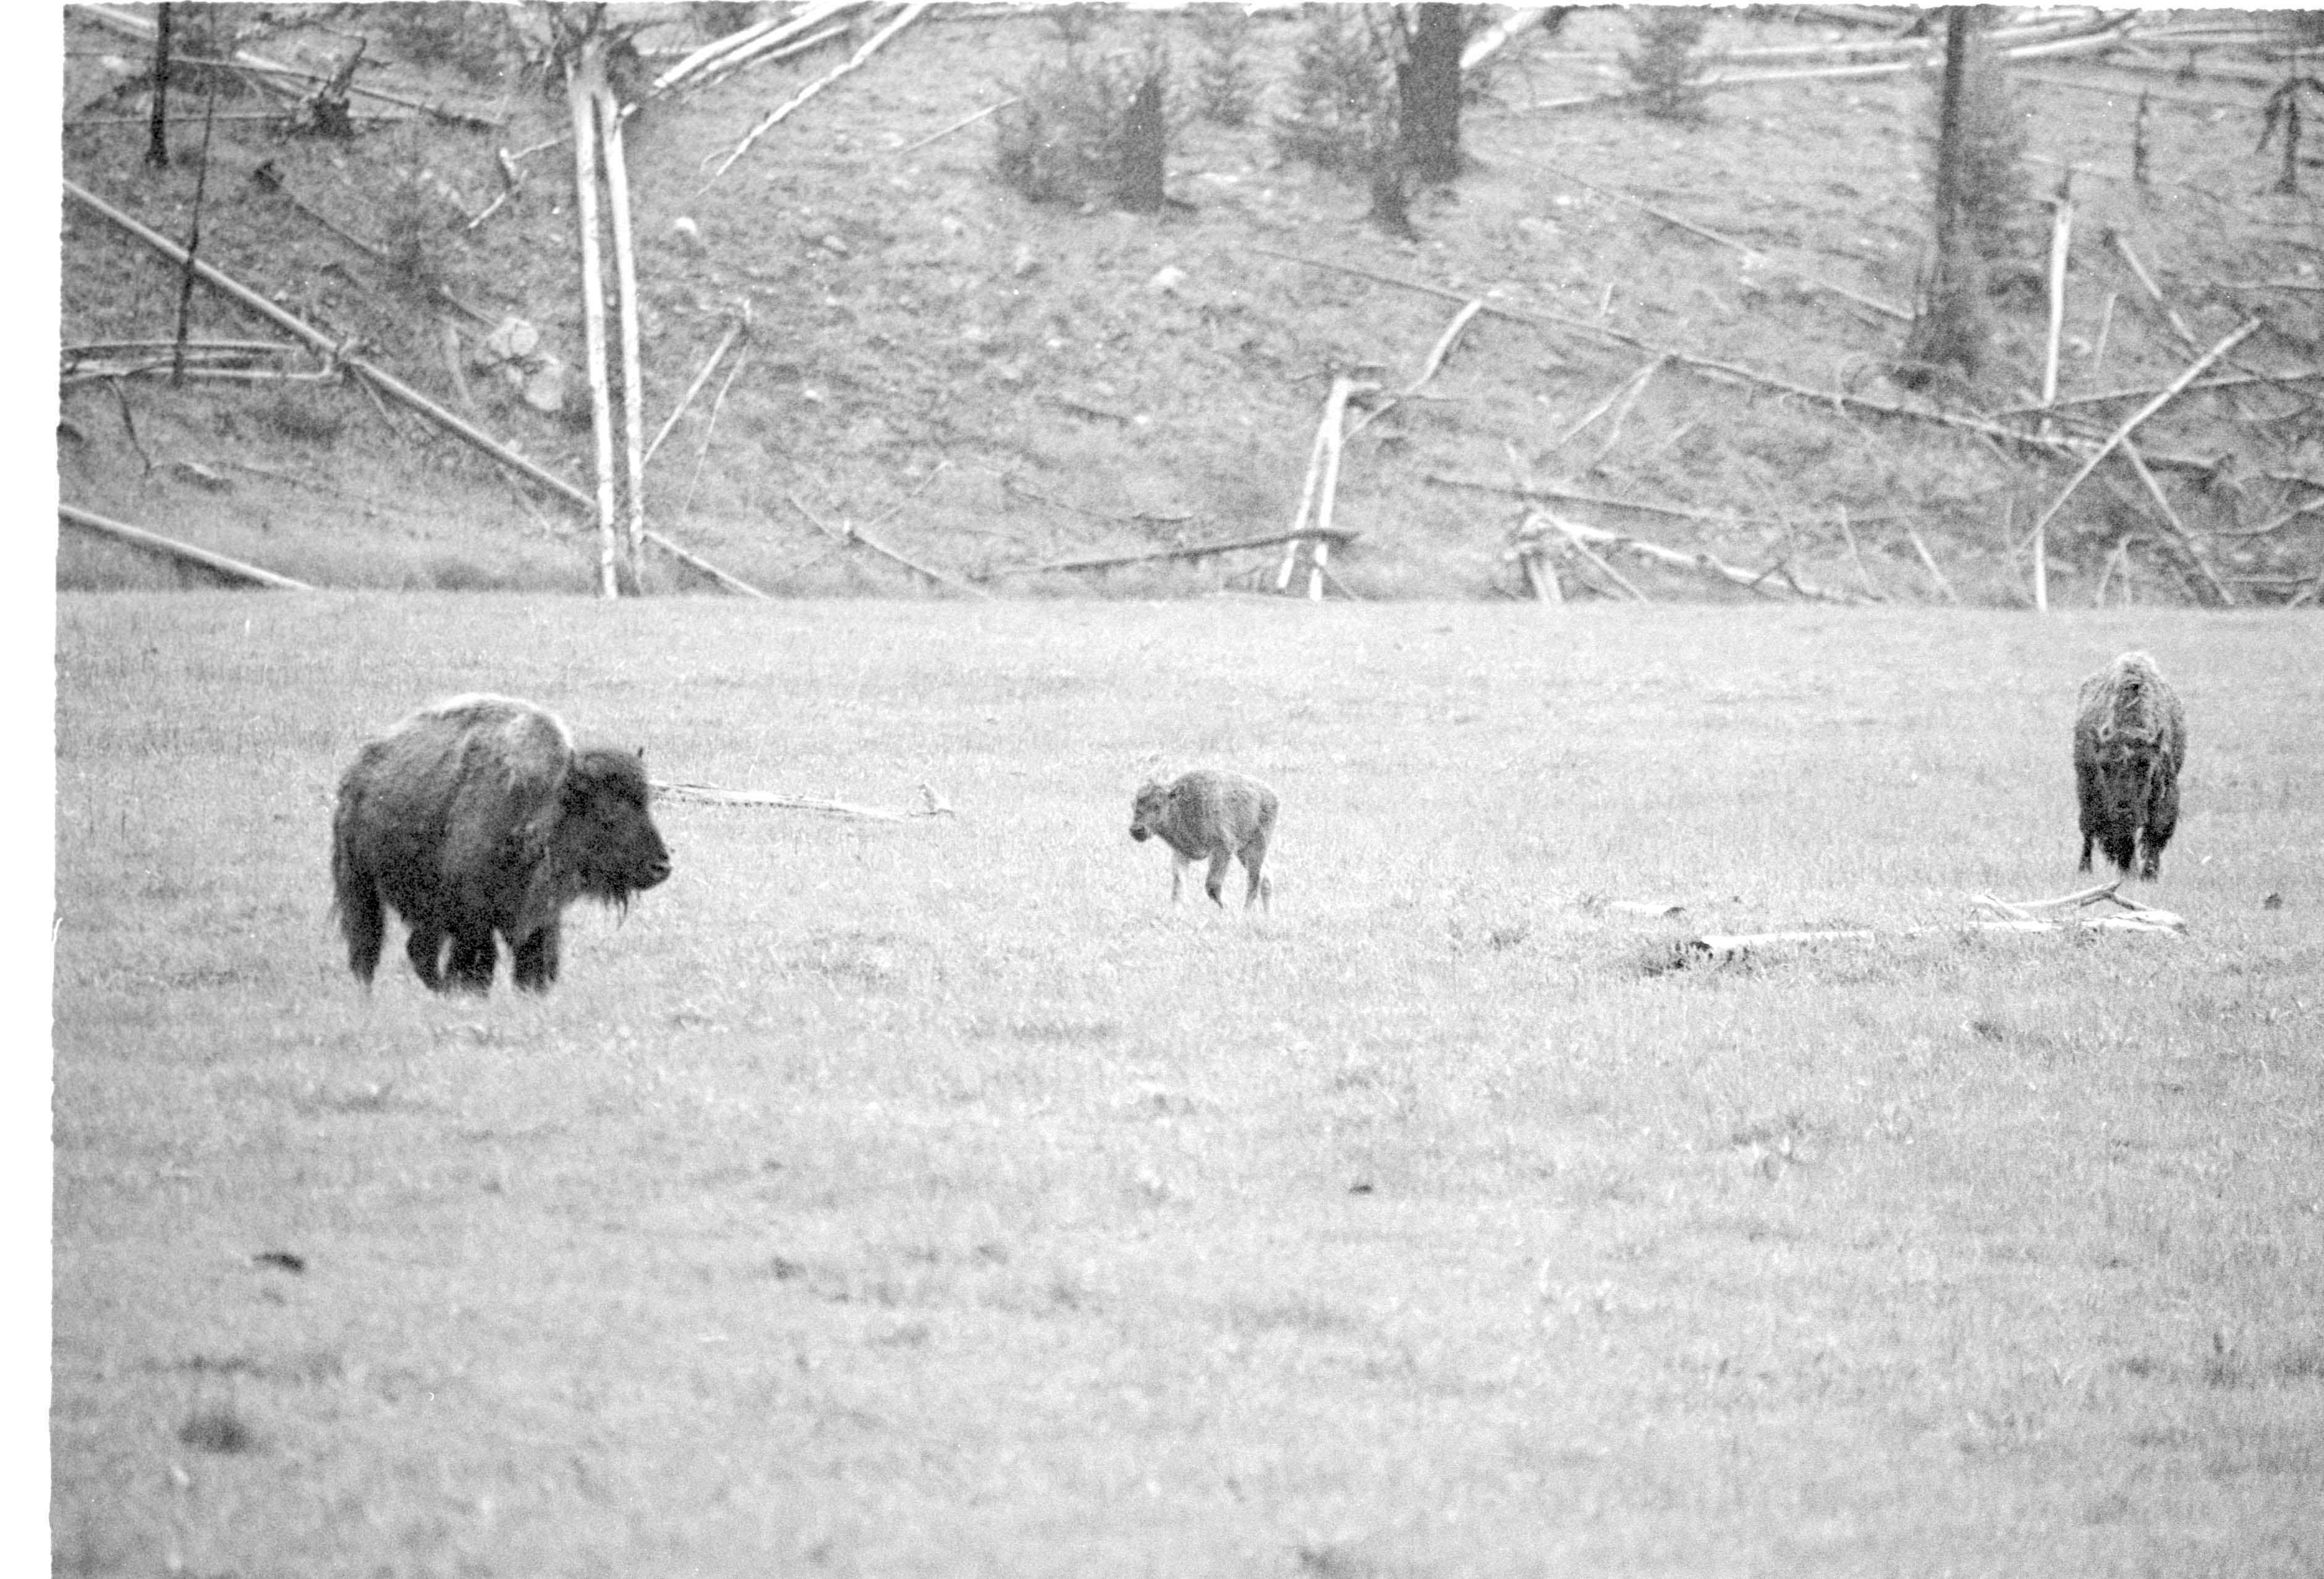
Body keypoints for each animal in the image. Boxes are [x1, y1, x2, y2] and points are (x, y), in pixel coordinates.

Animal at [331, 694, 671, 993]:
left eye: (645, 806)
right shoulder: (473, 915)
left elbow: (534, 958)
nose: (662, 867)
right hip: (360, 885)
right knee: (368, 945)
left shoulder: (540, 914)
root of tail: (358, 770)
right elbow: (478, 962)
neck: (544, 803)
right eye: (608, 814)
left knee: (418, 951)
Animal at [2073, 651, 2186, 881]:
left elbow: (2156, 830)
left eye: (2146, 765)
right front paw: (2129, 871)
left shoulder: (2167, 791)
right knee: (2088, 830)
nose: (2124, 810)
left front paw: (2149, 875)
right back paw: (2085, 869)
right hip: (2086, 790)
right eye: (2104, 766)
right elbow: (2118, 837)